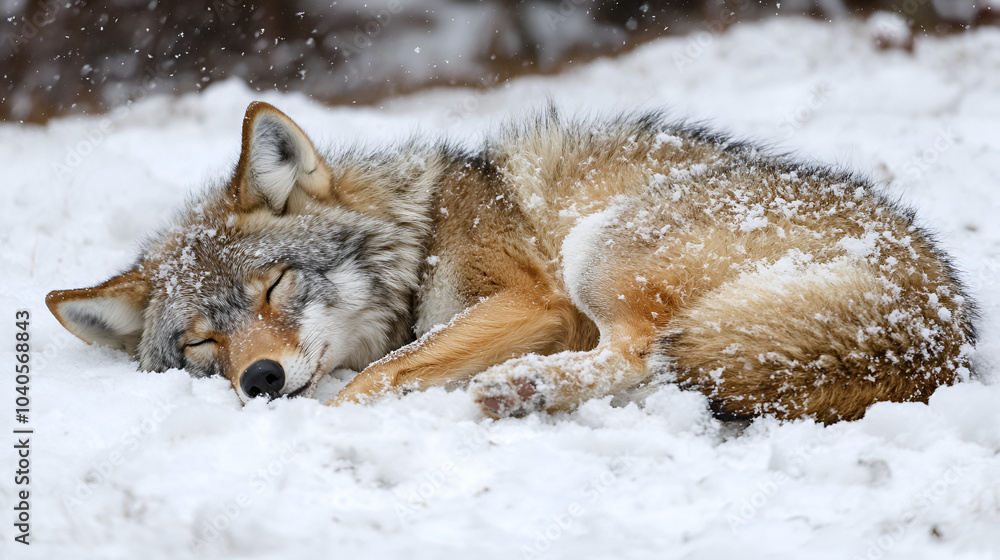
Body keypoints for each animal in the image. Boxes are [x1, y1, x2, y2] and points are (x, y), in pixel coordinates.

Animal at [46, 102, 976, 422]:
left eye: (276, 284)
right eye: (202, 343)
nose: (262, 380)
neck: (420, 229)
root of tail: (937, 320)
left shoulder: (533, 303)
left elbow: (378, 373)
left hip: (599, 249)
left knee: (643, 356)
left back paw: (519, 390)